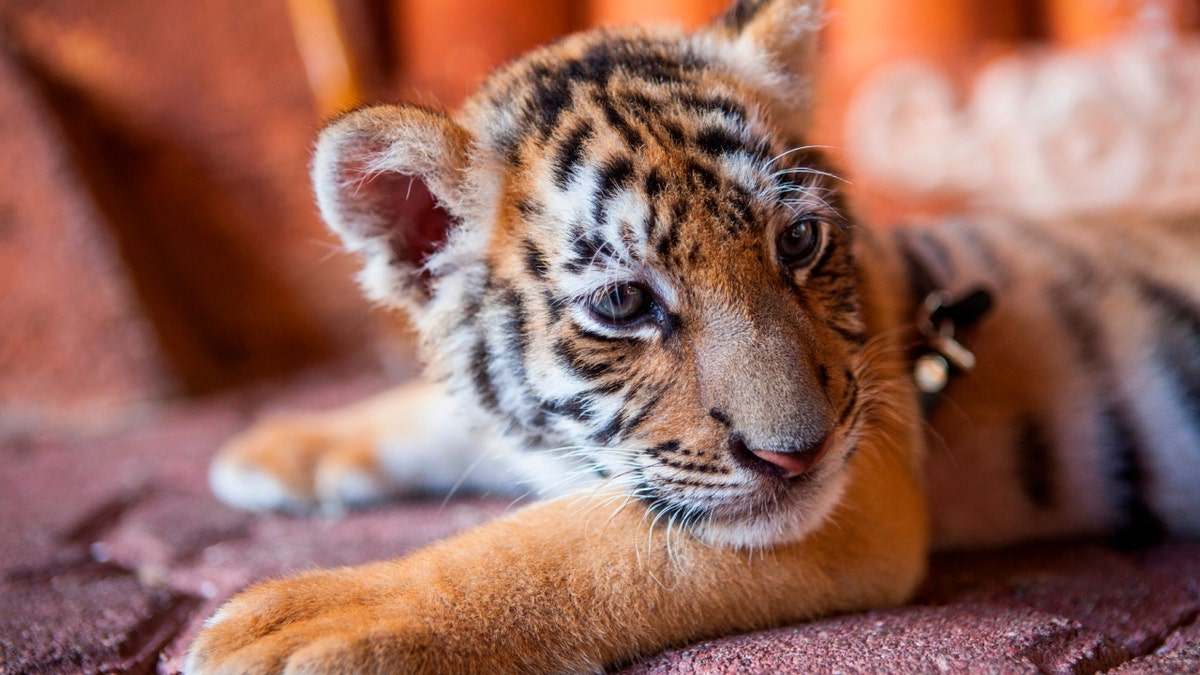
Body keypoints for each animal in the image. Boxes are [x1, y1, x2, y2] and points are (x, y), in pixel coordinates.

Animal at [184, 0, 1200, 667]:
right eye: (623, 304)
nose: (799, 453)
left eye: (797, 241)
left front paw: (309, 620)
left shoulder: (859, 493)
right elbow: (439, 415)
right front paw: (279, 445)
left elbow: (582, 545)